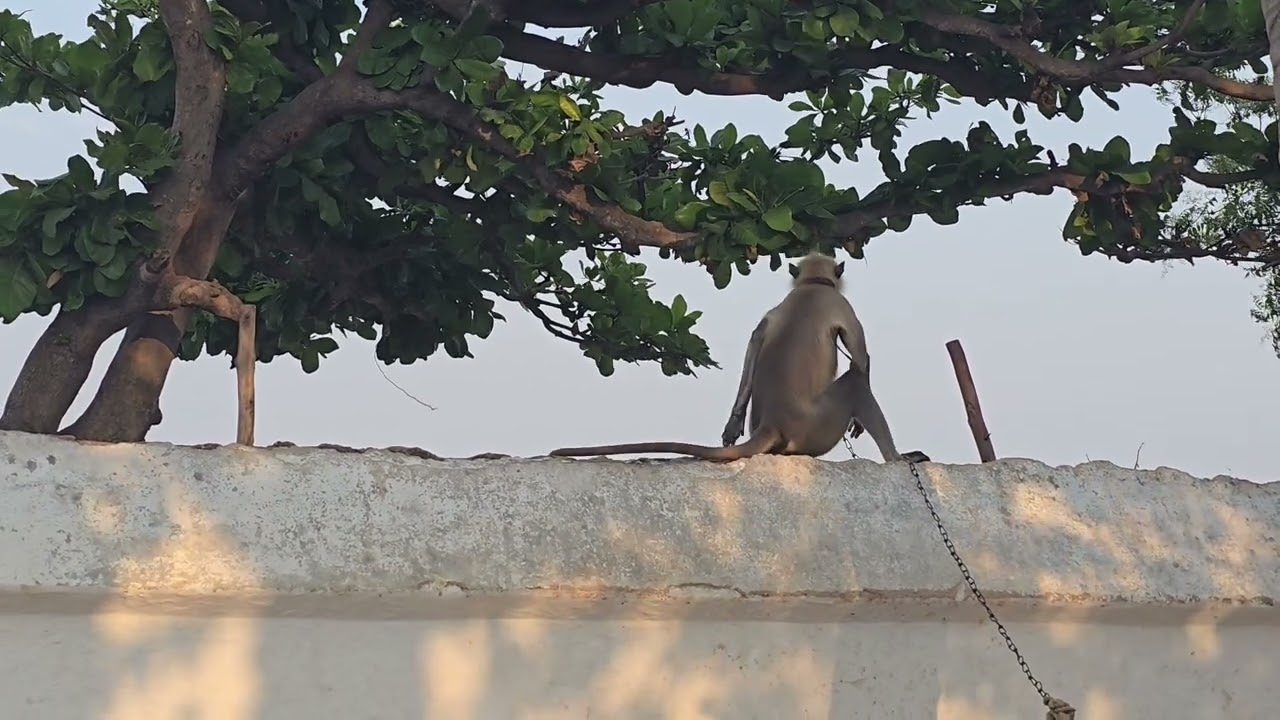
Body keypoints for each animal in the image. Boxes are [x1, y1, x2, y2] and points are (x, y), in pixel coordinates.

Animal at [549, 252, 930, 464]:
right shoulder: (841, 306)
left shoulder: (772, 314)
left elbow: (754, 341)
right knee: (854, 385)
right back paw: (897, 459)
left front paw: (731, 426)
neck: (812, 286)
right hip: (820, 426)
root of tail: (774, 423)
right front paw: (861, 425)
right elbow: (861, 360)